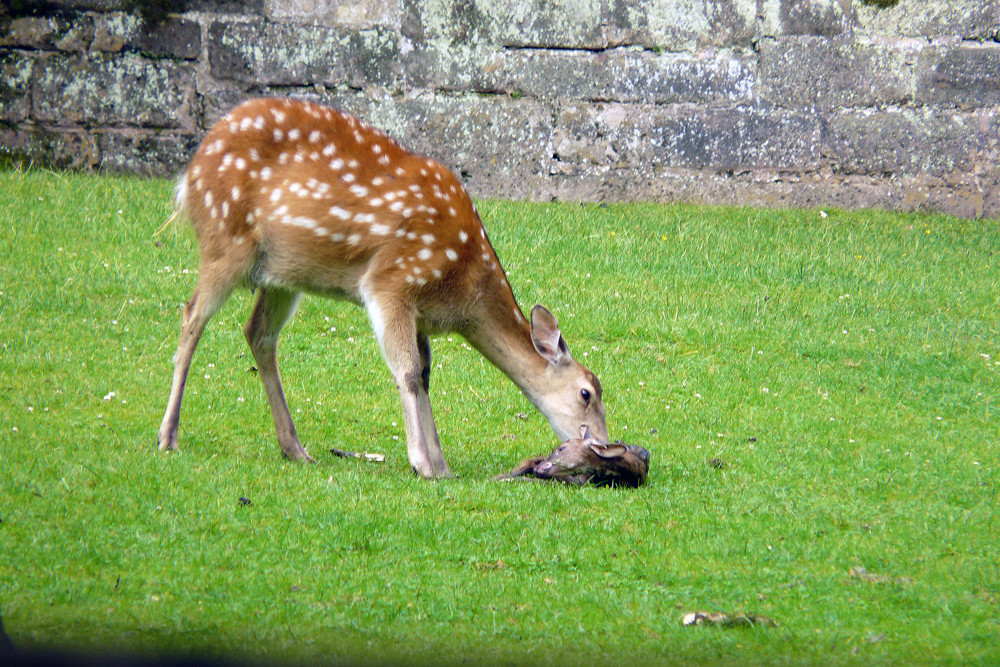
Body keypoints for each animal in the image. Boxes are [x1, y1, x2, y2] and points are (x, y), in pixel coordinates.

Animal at [160, 96, 604, 478]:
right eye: (587, 392)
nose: (602, 444)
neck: (462, 292)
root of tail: (190, 173)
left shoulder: (421, 314)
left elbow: (424, 375)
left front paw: (442, 466)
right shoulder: (391, 282)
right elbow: (406, 371)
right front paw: (422, 464)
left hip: (281, 273)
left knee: (257, 333)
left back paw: (295, 448)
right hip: (225, 240)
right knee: (191, 316)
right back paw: (168, 437)